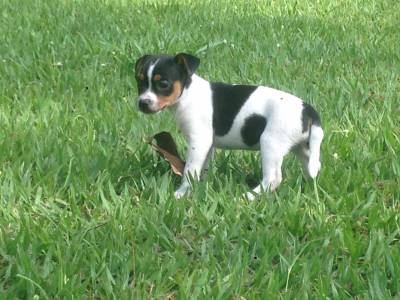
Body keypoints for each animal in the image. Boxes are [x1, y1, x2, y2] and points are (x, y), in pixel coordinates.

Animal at [136, 53, 324, 200]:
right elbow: (202, 168)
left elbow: (190, 169)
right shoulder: (207, 145)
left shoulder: (199, 140)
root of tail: (308, 110)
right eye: (140, 82)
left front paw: (181, 193)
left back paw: (247, 197)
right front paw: (200, 187)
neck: (187, 93)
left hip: (271, 143)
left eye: (163, 84)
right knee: (314, 166)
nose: (142, 103)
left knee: (273, 178)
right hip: (303, 147)